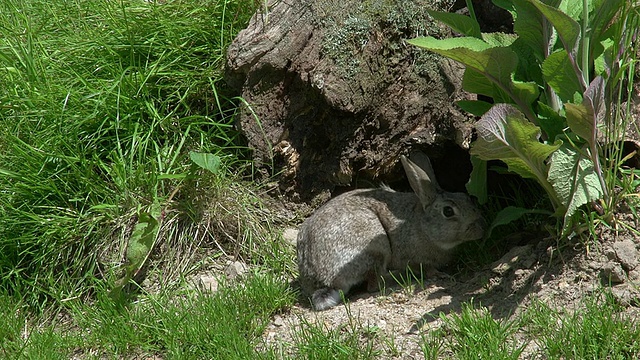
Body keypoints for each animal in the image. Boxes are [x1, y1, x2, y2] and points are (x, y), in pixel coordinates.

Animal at [296, 151, 484, 310]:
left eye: (466, 197)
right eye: (448, 211)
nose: (481, 228)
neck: (422, 225)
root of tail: (323, 281)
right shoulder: (412, 256)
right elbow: (426, 268)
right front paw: (439, 275)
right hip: (376, 247)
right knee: (374, 284)